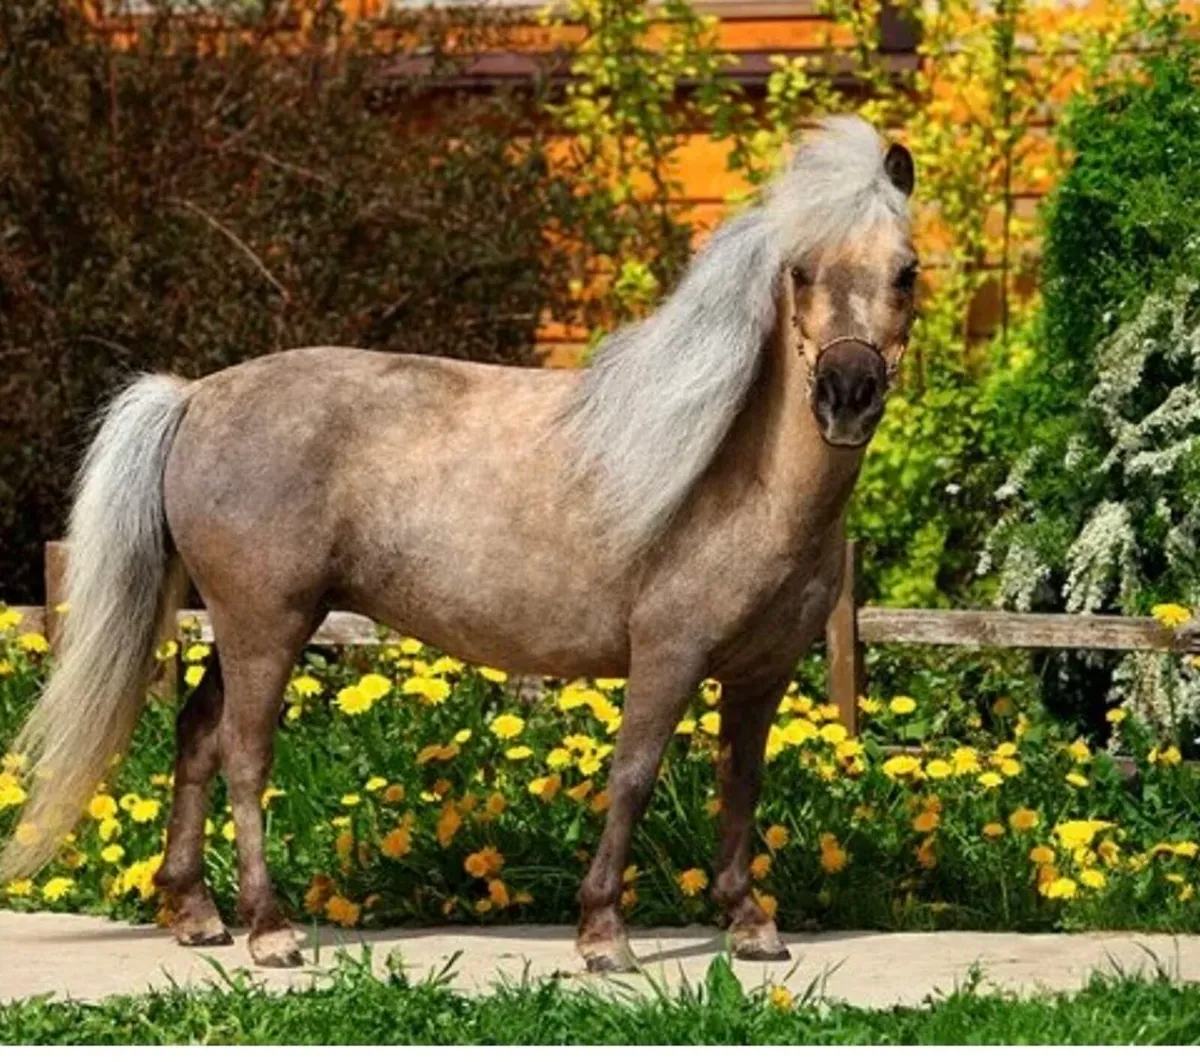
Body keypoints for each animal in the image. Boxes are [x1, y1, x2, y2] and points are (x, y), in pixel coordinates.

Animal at [2, 116, 917, 972]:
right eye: (801, 271)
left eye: (905, 271)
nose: (848, 394)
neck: (738, 478)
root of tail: (195, 395)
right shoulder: (668, 656)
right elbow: (632, 776)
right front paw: (603, 935)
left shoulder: (761, 674)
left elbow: (740, 781)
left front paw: (748, 922)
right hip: (264, 625)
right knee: (244, 754)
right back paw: (269, 930)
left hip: (250, 627)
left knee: (196, 736)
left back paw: (197, 916)